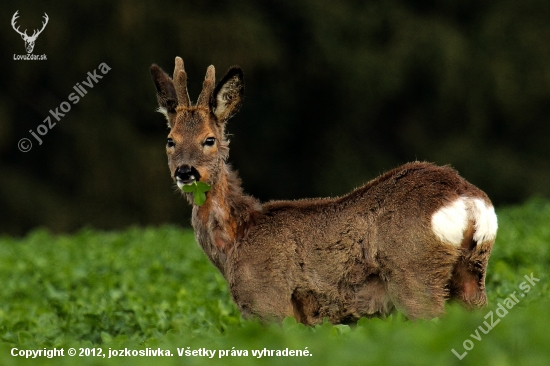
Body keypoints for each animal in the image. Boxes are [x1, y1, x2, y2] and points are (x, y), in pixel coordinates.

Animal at [151, 57, 500, 326]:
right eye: (170, 140)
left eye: (209, 139)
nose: (185, 172)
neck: (237, 238)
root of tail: (466, 198)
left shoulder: (268, 301)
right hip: (472, 273)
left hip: (414, 273)